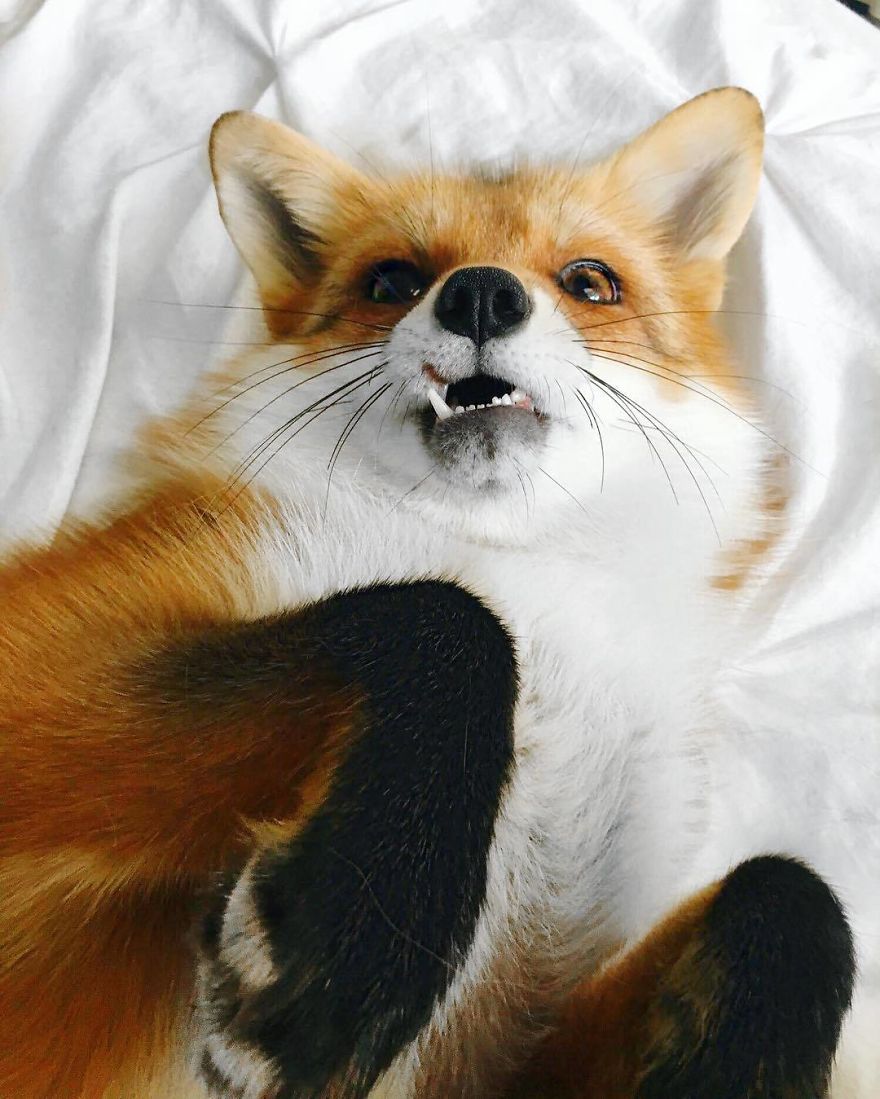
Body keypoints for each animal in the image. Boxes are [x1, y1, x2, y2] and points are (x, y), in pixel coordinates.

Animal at [1, 86, 875, 1098]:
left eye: (590, 281)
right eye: (390, 281)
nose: (482, 292)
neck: (524, 578)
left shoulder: (499, 1048)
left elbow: (789, 897)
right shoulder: (46, 636)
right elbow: (446, 622)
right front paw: (350, 946)